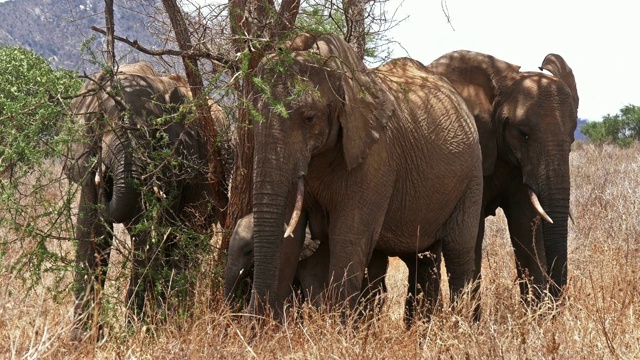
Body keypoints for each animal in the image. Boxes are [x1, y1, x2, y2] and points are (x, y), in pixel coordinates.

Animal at [67, 62, 228, 340]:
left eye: (154, 129)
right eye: (101, 119)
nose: (107, 181)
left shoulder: (179, 160)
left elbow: (156, 230)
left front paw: (138, 331)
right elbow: (92, 230)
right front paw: (83, 340)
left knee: (187, 241)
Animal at [248, 33, 482, 320]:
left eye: (309, 118)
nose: (251, 319)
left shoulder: (376, 159)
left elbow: (348, 237)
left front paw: (336, 328)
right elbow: (288, 238)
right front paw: (268, 329)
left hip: (472, 174)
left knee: (459, 250)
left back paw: (463, 325)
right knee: (423, 260)